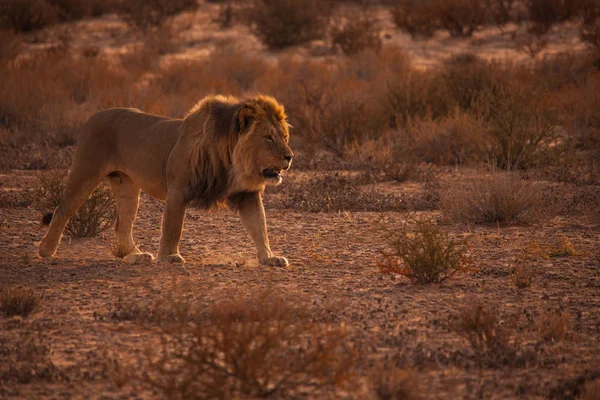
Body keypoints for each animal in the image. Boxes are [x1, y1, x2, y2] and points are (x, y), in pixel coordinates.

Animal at [36, 94, 294, 266]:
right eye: (268, 138)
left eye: (284, 136)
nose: (290, 157)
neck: (233, 162)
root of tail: (93, 115)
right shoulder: (178, 190)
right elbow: (173, 227)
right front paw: (170, 256)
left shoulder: (247, 194)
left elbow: (260, 227)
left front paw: (270, 257)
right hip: (85, 171)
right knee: (62, 210)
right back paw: (46, 250)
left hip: (127, 186)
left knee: (122, 224)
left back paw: (135, 255)